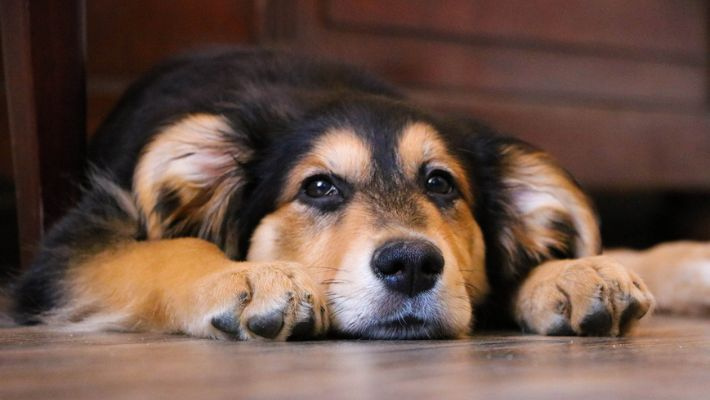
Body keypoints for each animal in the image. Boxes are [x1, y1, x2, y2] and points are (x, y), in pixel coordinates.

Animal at [12, 47, 710, 340]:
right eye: (319, 186)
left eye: (440, 183)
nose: (411, 264)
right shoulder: (66, 252)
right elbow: (169, 250)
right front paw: (249, 279)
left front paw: (570, 275)